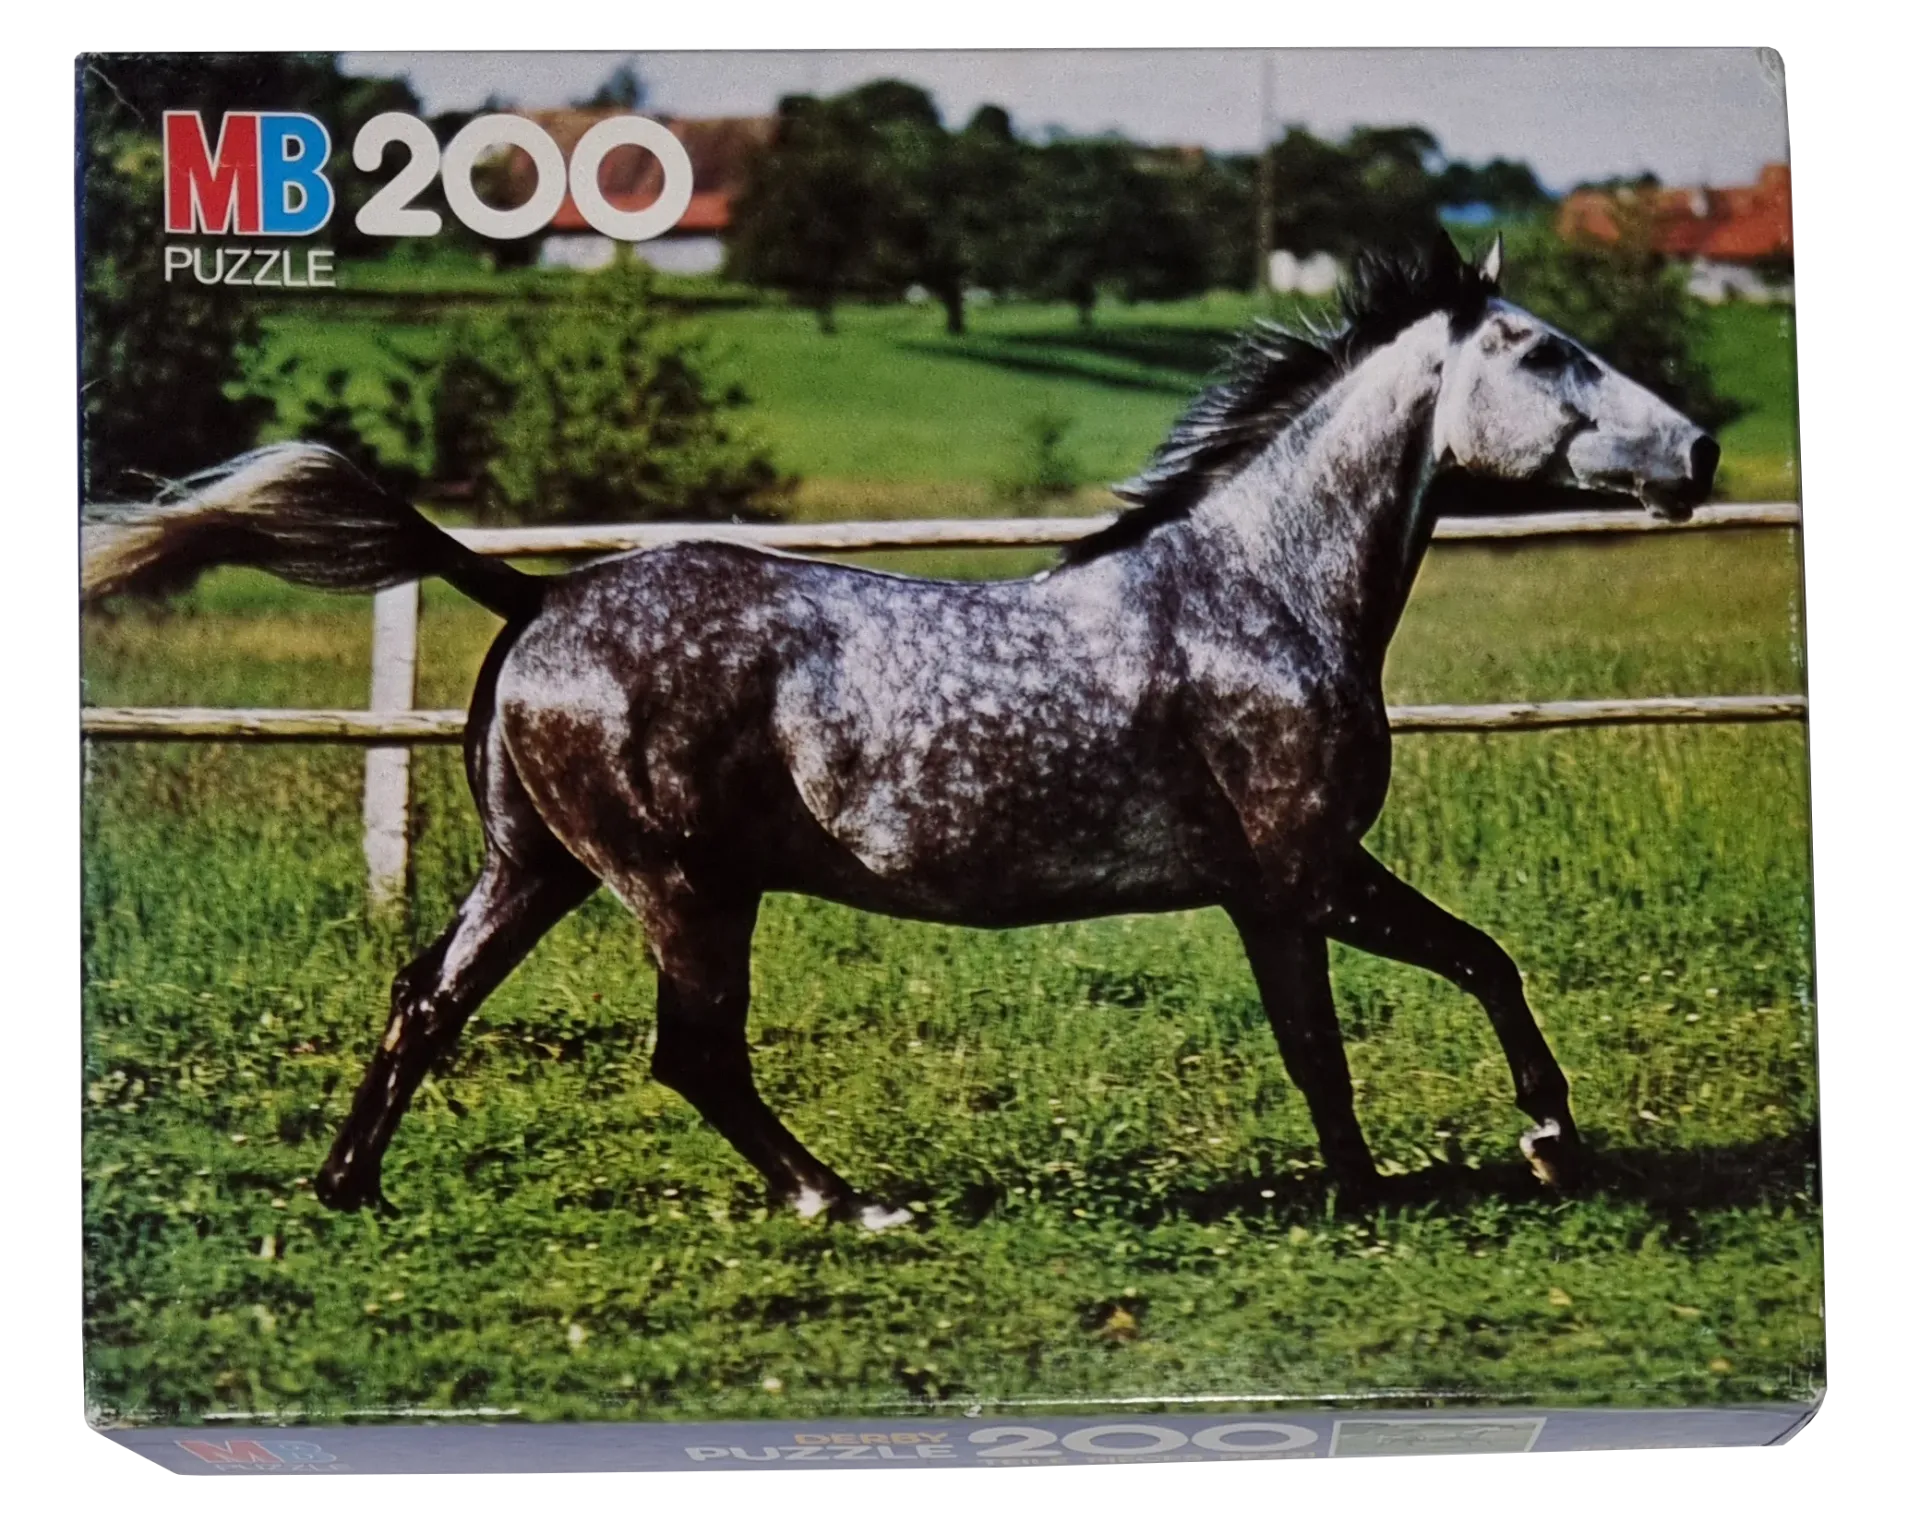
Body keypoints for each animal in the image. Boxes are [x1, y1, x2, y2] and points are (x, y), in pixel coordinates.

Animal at [83, 231, 1719, 1229]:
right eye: (1545, 350)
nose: (1699, 450)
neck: (1254, 592)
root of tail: (540, 594)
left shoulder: (1283, 890)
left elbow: (1393, 1005)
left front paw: (1450, 1165)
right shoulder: (1302, 873)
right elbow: (1412, 997)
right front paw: (1502, 1156)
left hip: (535, 867)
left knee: (428, 997)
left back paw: (346, 1190)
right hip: (682, 887)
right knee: (691, 1051)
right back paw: (848, 1198)